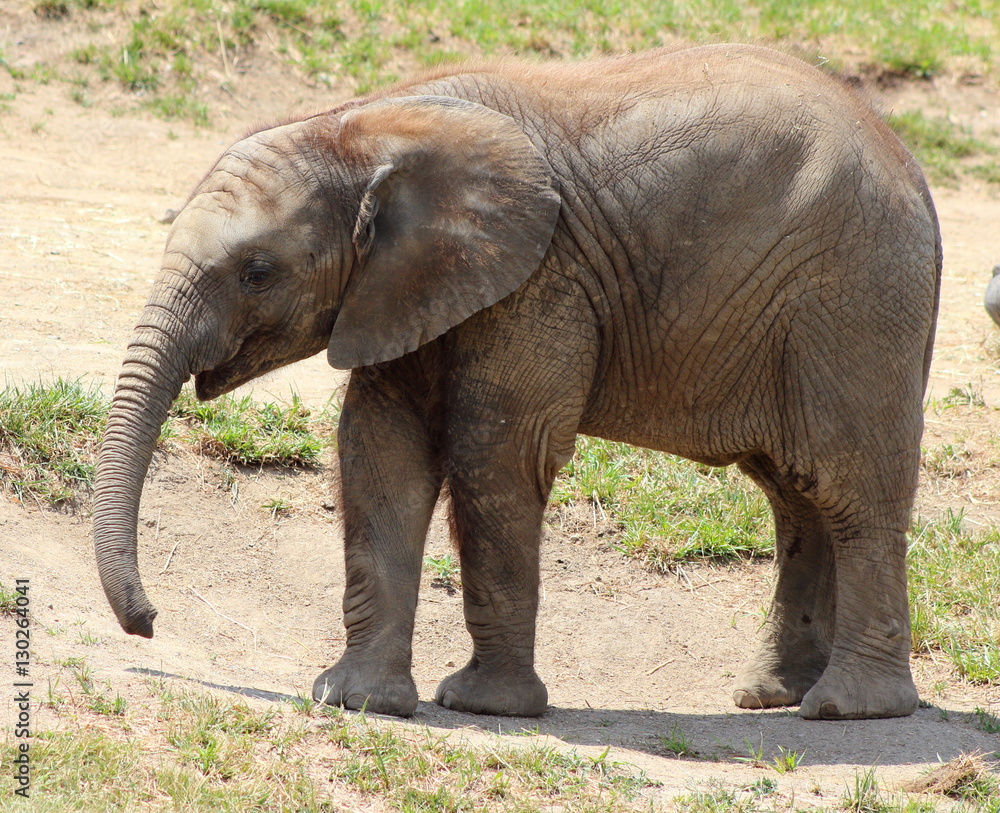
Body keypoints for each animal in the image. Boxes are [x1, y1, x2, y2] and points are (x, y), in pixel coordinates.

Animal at [93, 43, 941, 721]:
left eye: (258, 272)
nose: (150, 621)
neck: (364, 128)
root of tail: (910, 162)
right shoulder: (404, 286)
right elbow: (379, 450)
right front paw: (357, 699)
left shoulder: (538, 278)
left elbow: (493, 453)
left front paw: (483, 705)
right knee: (795, 495)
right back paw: (772, 695)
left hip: (857, 303)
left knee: (850, 490)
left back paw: (847, 708)